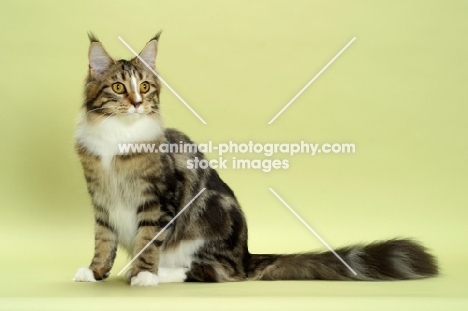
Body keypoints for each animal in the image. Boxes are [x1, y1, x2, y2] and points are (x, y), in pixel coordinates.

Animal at [71, 32, 436, 288]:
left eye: (145, 87)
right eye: (119, 87)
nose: (136, 103)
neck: (116, 136)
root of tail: (246, 255)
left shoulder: (158, 200)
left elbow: (148, 241)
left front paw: (144, 274)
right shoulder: (101, 200)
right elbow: (103, 240)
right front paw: (95, 272)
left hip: (208, 228)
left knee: (215, 271)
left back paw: (160, 273)